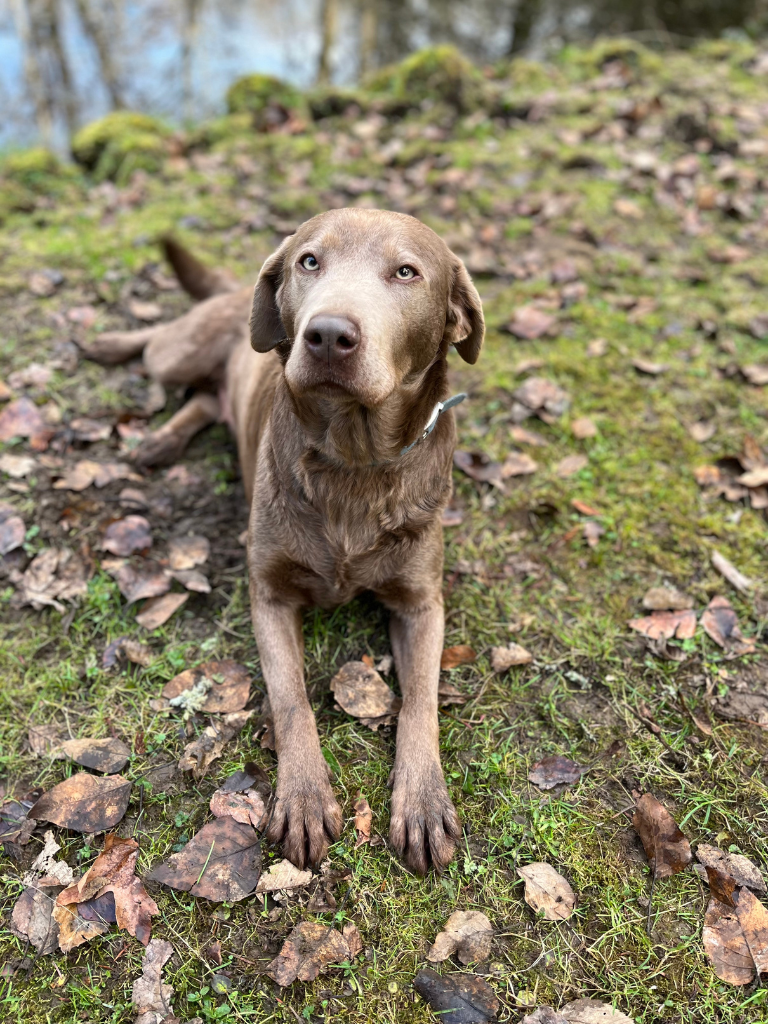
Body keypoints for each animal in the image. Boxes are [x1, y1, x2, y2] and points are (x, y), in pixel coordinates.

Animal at [85, 209, 487, 872]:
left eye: (406, 272)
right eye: (309, 261)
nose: (327, 335)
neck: (353, 461)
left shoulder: (422, 603)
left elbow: (420, 703)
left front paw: (424, 800)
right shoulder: (269, 596)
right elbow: (291, 698)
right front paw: (302, 797)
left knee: (206, 398)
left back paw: (165, 435)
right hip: (177, 354)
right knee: (157, 346)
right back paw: (113, 350)